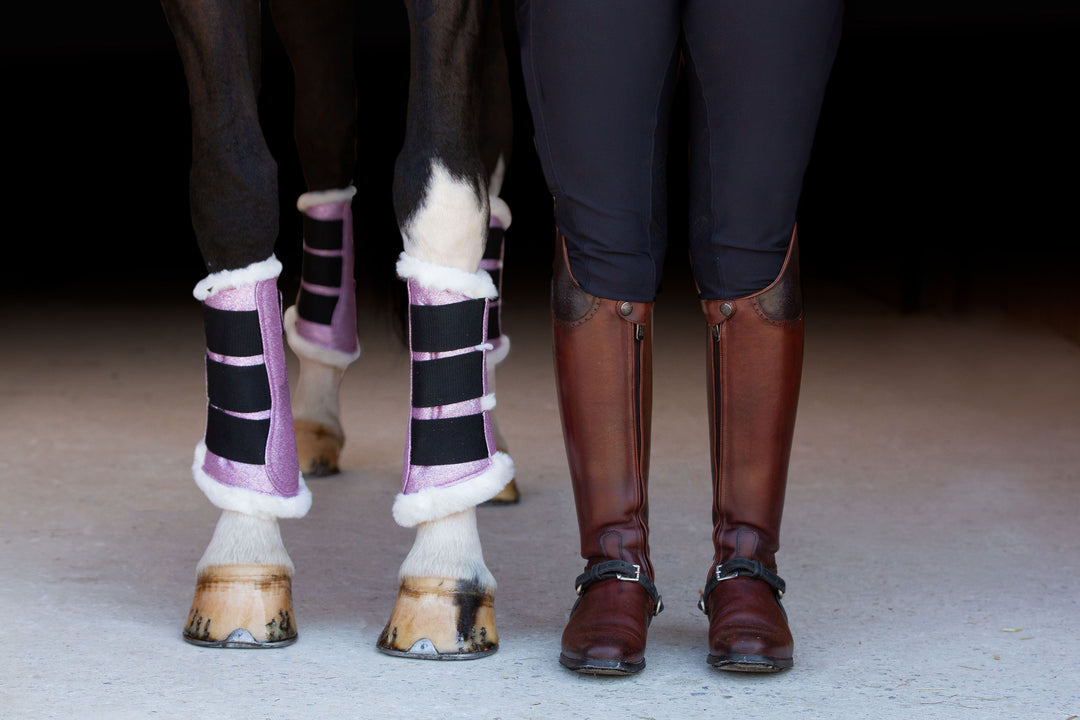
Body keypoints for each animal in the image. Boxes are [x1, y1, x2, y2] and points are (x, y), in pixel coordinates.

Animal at [158, 0, 522, 660]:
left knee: (489, 157)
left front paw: (445, 568)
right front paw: (244, 555)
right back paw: (315, 413)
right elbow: (234, 183)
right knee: (326, 134)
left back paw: (492, 450)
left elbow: (444, 192)